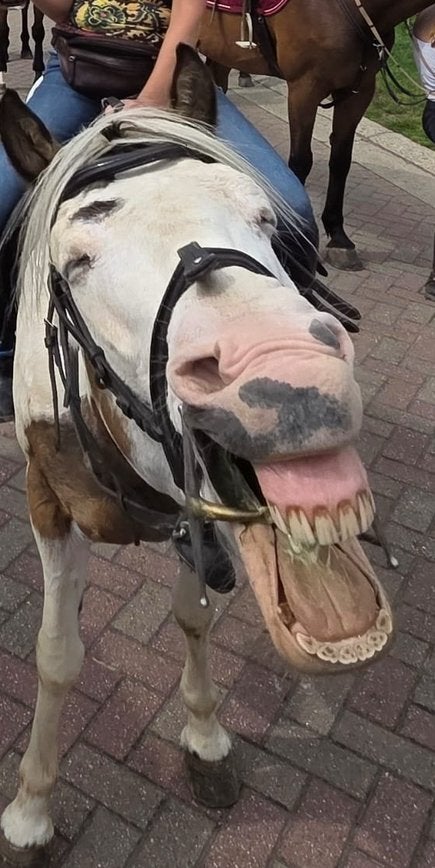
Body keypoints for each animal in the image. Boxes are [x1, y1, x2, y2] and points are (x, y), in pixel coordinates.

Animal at [0, 45, 394, 865]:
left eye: (264, 220)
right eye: (74, 258)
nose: (288, 381)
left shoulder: (199, 521)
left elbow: (193, 616)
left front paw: (206, 739)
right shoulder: (46, 502)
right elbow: (56, 655)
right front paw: (30, 812)